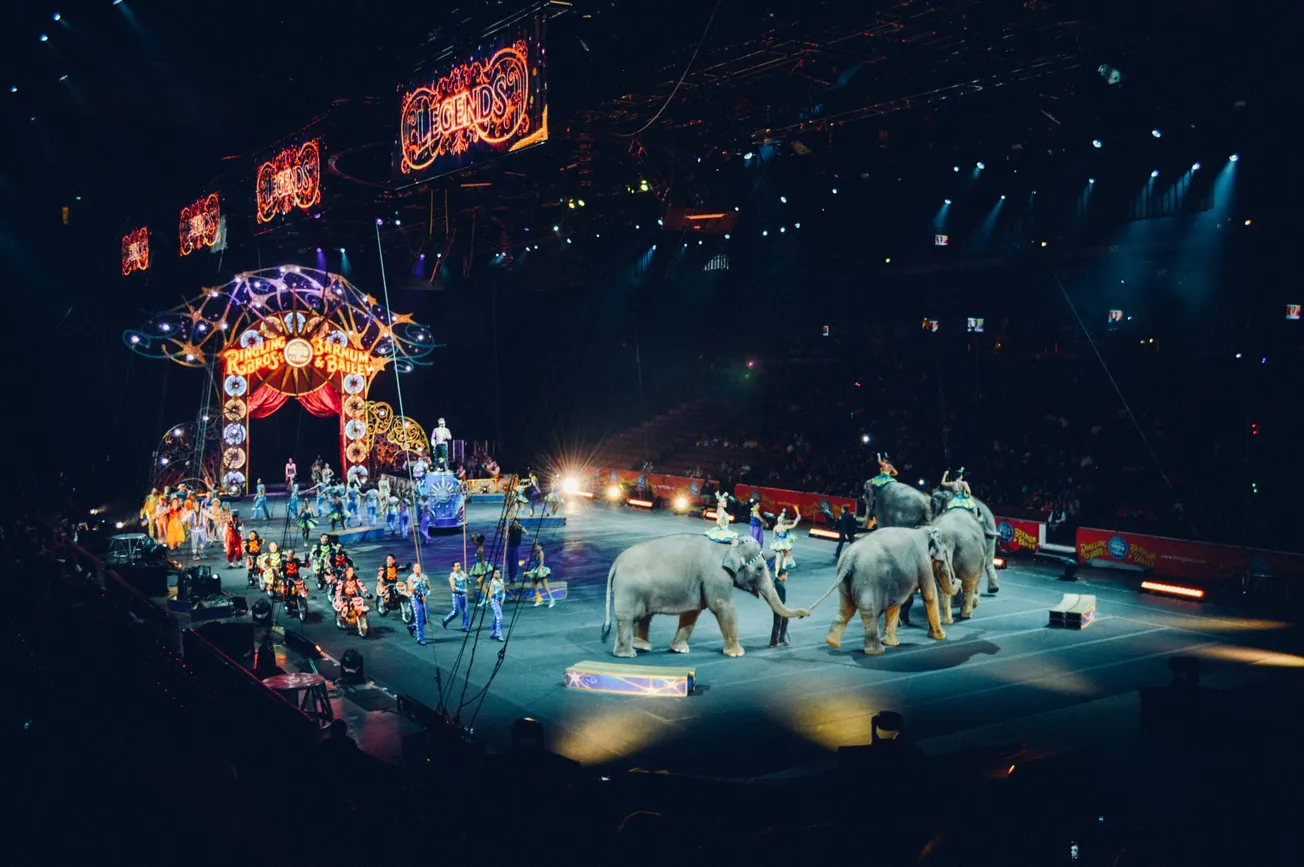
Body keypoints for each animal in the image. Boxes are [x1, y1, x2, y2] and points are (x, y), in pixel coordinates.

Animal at [605, 534, 808, 657]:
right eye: (759, 569)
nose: (805, 614)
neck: (727, 547)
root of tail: (616, 563)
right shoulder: (716, 576)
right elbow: (723, 606)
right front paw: (737, 653)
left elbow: (692, 613)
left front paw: (679, 650)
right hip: (629, 591)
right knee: (627, 618)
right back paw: (628, 654)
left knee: (644, 616)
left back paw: (641, 647)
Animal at [824, 524, 959, 651]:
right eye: (945, 553)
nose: (957, 579)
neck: (922, 530)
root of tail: (850, 557)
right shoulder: (923, 561)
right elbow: (930, 596)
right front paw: (941, 636)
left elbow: (895, 604)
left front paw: (891, 643)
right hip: (867, 578)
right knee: (868, 610)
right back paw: (876, 651)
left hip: (846, 579)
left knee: (846, 608)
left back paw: (832, 642)